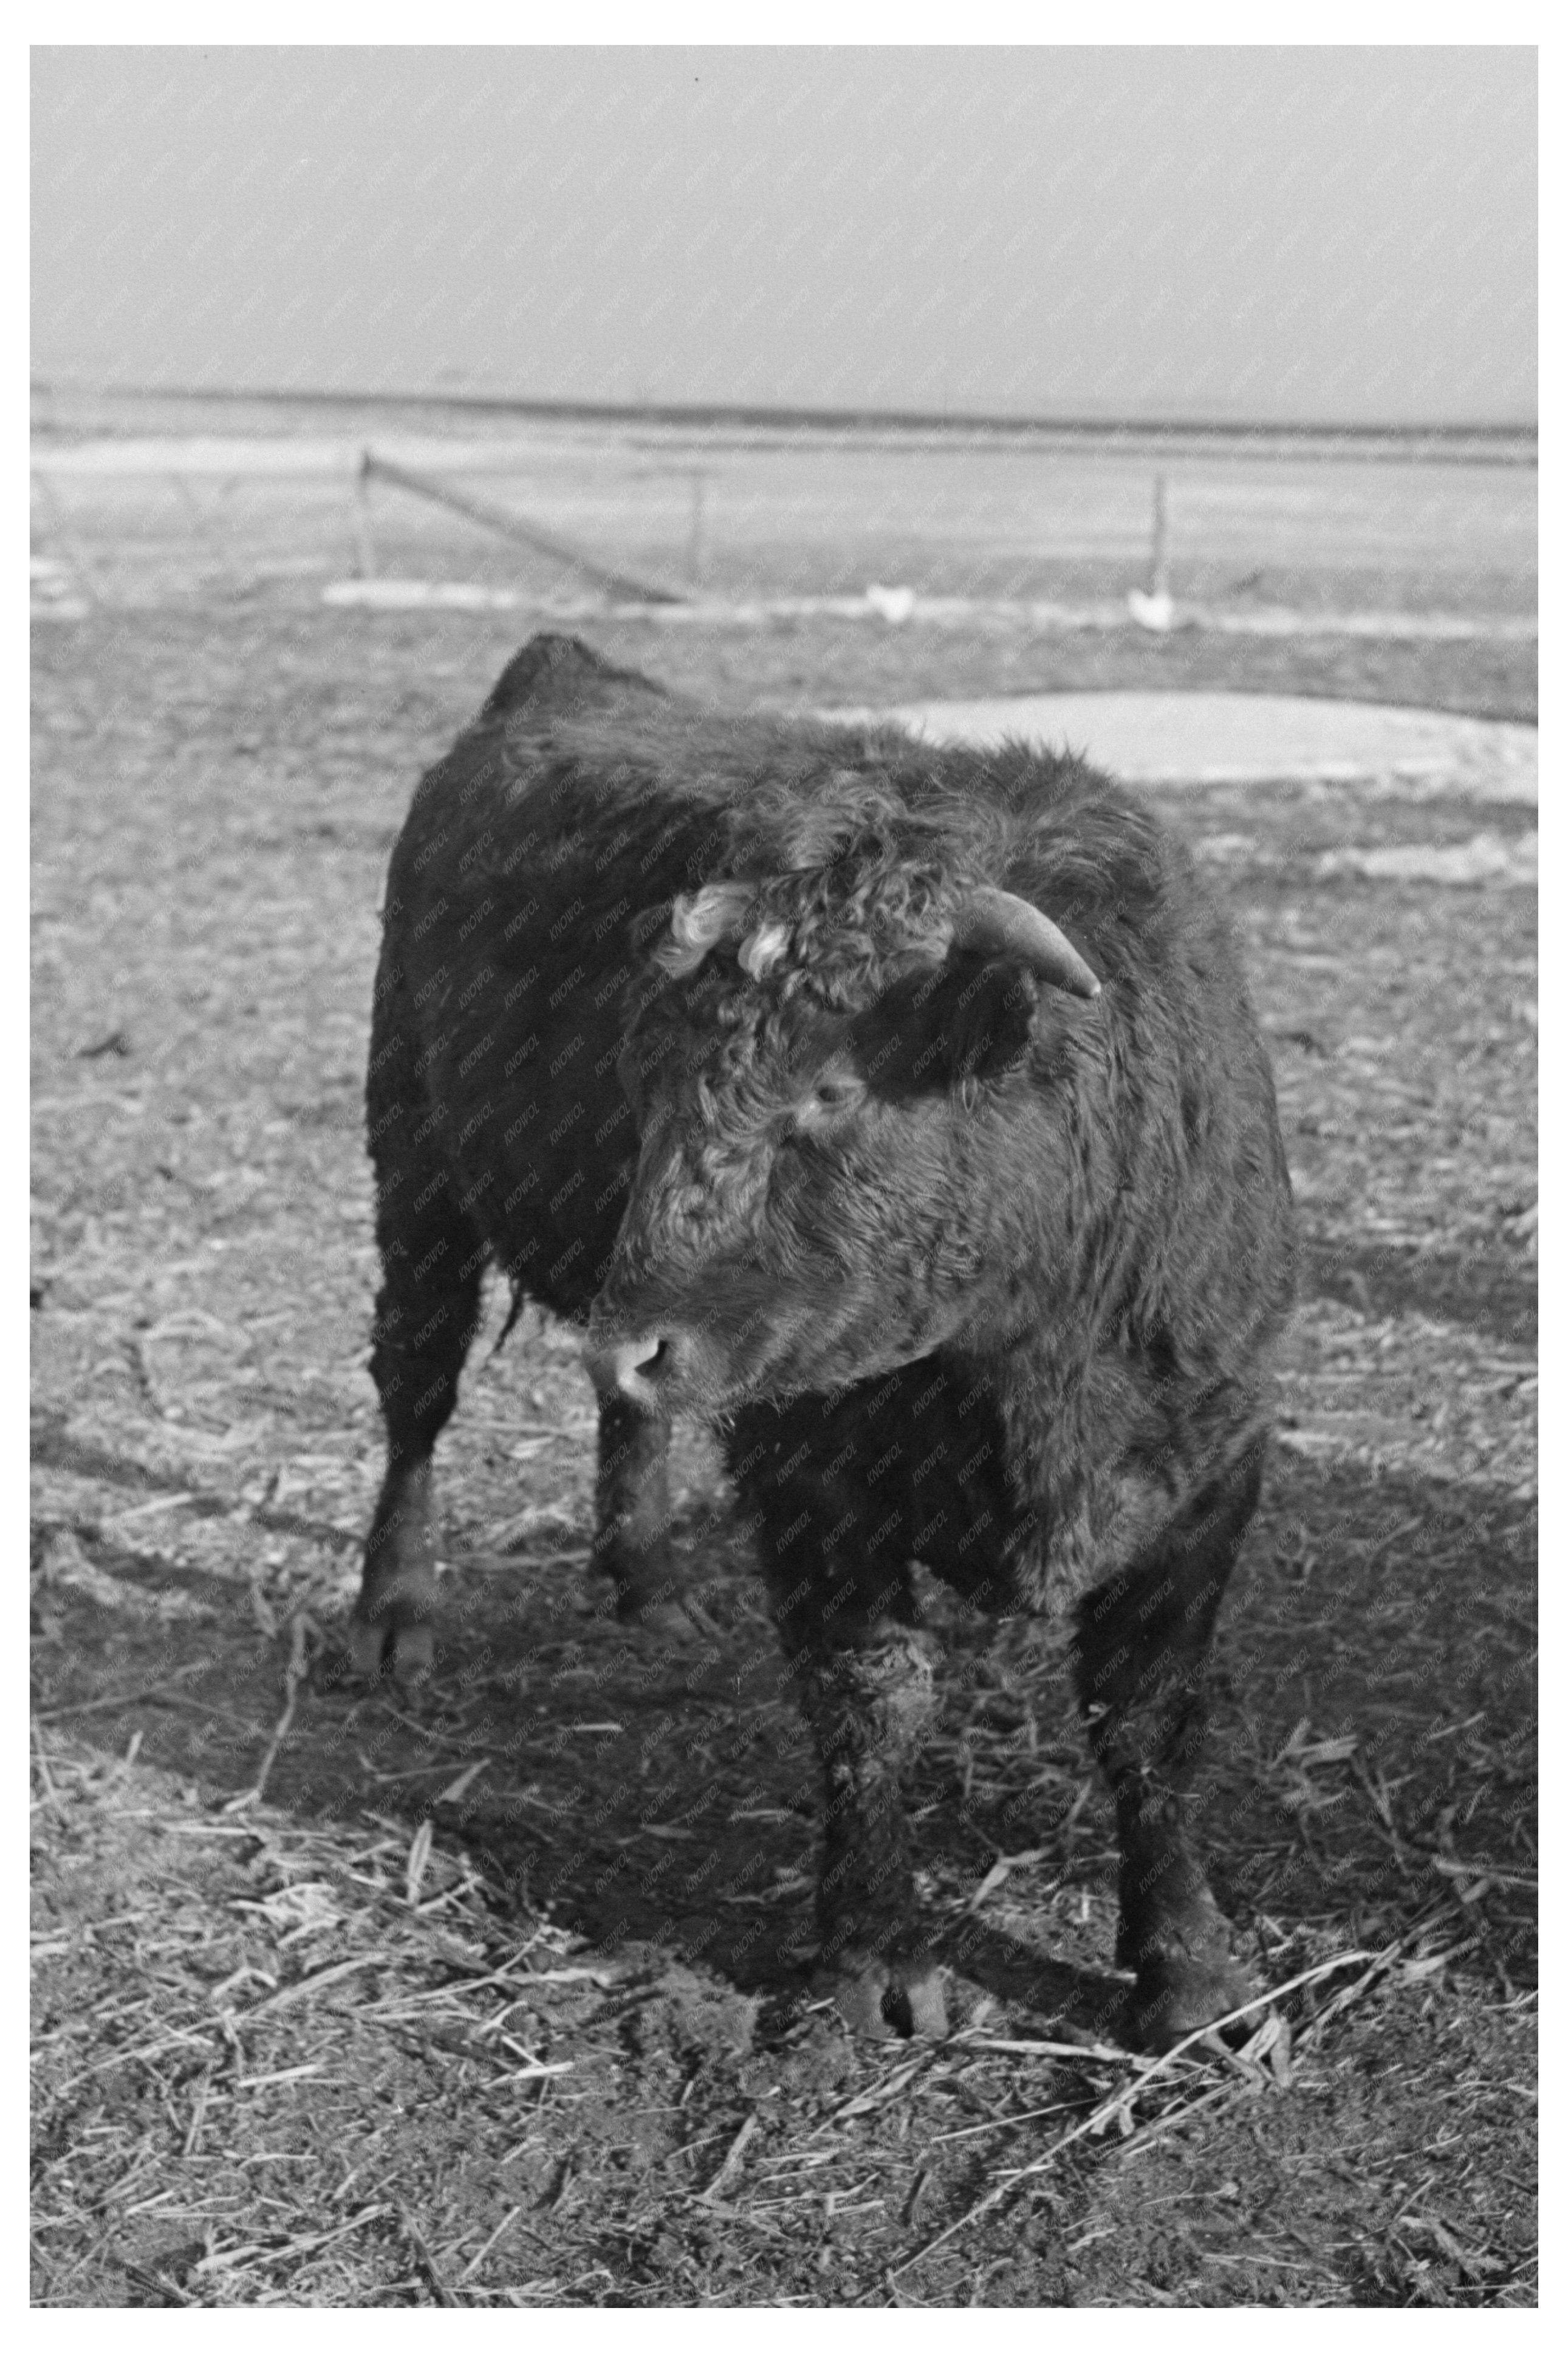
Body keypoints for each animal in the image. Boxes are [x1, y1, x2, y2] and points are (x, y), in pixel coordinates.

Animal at [360, 635, 1298, 2052]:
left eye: (834, 1085)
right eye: (647, 1075)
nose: (639, 1340)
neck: (1025, 1353)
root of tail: (559, 676)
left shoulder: (1207, 1466)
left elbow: (1150, 1718)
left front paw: (1191, 1972)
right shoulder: (813, 1474)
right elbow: (874, 1697)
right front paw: (876, 1952)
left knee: (620, 1423)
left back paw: (648, 1576)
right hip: (414, 1167)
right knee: (415, 1395)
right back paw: (397, 1613)